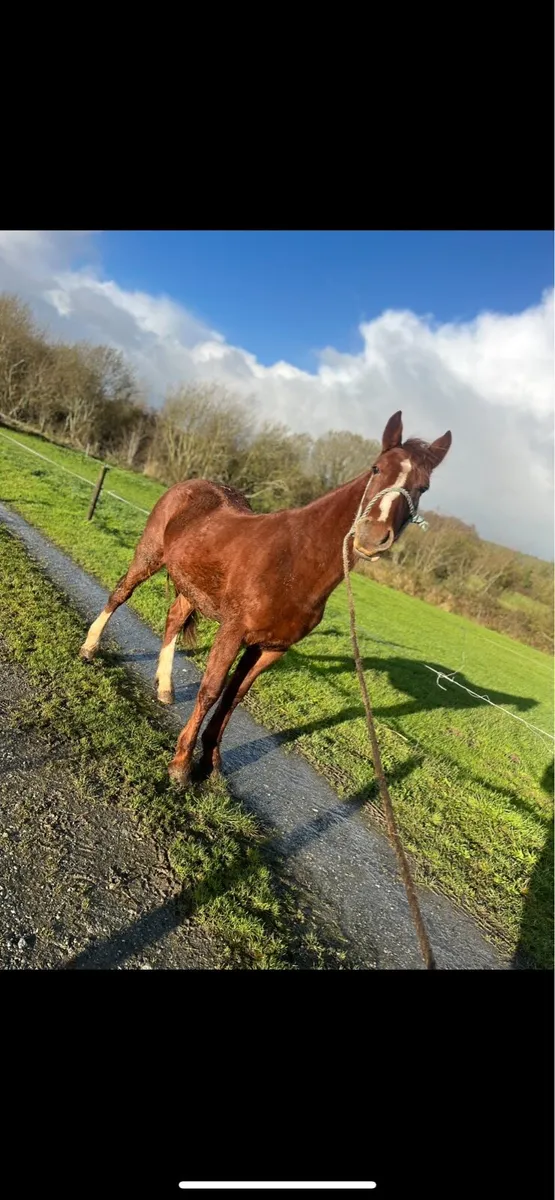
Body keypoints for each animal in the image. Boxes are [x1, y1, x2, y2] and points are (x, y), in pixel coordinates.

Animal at [80, 411, 452, 785]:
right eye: (376, 468)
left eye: (422, 487)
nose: (372, 537)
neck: (294, 563)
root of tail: (191, 485)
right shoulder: (233, 632)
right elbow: (211, 689)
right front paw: (182, 764)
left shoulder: (270, 648)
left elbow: (233, 697)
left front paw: (211, 763)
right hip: (149, 554)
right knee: (121, 594)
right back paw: (90, 648)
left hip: (191, 584)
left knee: (174, 618)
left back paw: (166, 687)